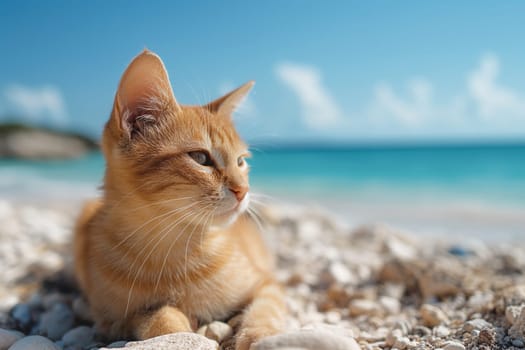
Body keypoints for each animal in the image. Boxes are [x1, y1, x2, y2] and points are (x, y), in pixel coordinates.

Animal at [74, 50, 284, 350]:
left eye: (241, 161)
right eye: (200, 158)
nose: (243, 190)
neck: (174, 248)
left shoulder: (267, 284)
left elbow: (266, 308)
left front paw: (258, 335)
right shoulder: (112, 321)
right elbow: (158, 319)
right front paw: (182, 331)